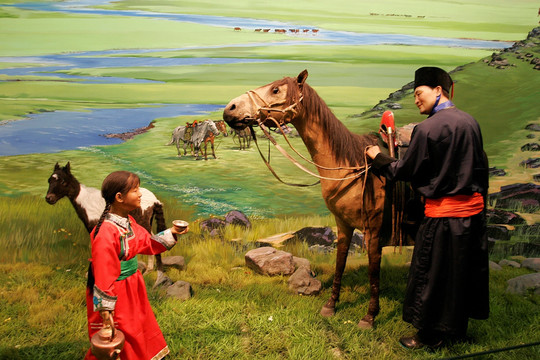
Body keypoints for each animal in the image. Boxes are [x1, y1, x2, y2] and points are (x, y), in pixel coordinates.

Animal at [224, 70, 414, 330]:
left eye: (276, 90)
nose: (230, 109)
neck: (352, 165)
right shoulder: (343, 225)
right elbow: (340, 262)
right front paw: (331, 305)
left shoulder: (374, 232)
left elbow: (373, 272)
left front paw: (369, 316)